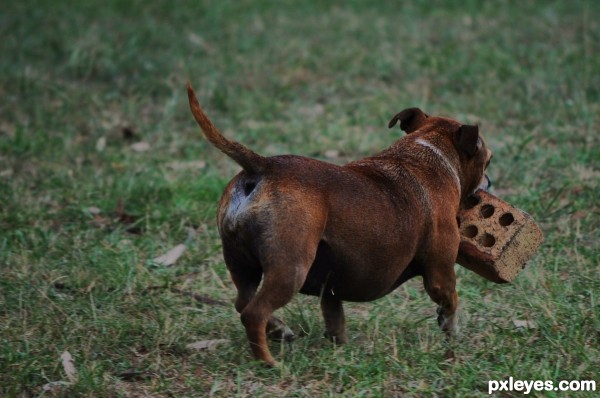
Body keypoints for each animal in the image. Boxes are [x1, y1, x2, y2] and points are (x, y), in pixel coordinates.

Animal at [188, 84, 492, 366]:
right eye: (487, 160)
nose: (489, 182)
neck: (427, 153)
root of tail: (263, 166)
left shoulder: (331, 281)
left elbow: (335, 317)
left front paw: (339, 347)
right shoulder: (440, 273)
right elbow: (451, 300)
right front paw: (451, 331)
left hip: (241, 264)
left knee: (243, 302)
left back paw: (279, 332)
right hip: (290, 268)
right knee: (254, 312)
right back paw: (269, 362)